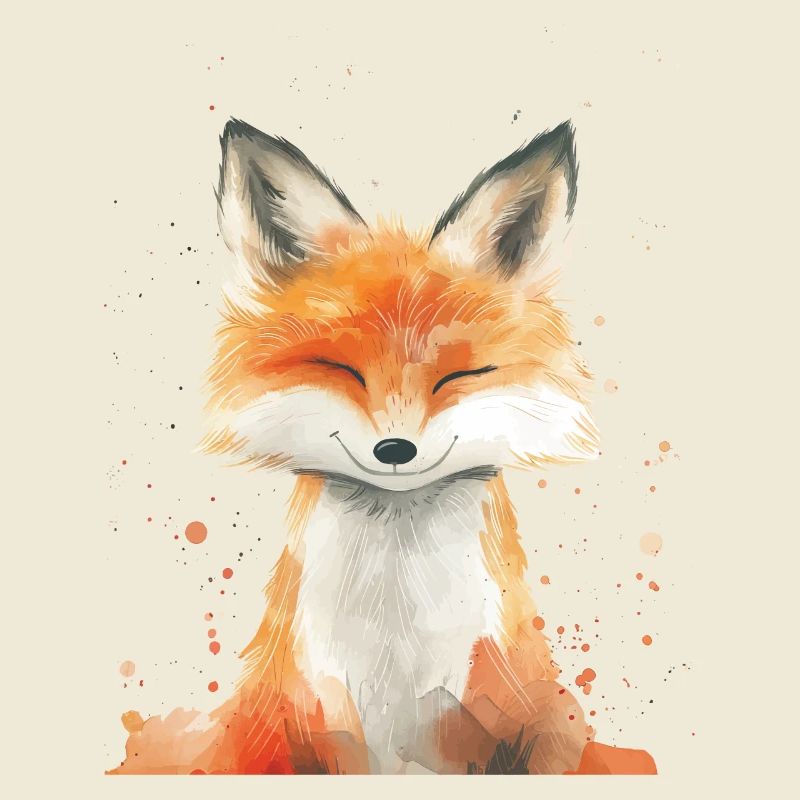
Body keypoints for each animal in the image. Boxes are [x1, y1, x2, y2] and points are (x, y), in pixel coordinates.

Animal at [110, 119, 656, 775]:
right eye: (339, 368)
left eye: (460, 375)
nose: (395, 450)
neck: (396, 645)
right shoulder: (319, 721)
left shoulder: (506, 720)